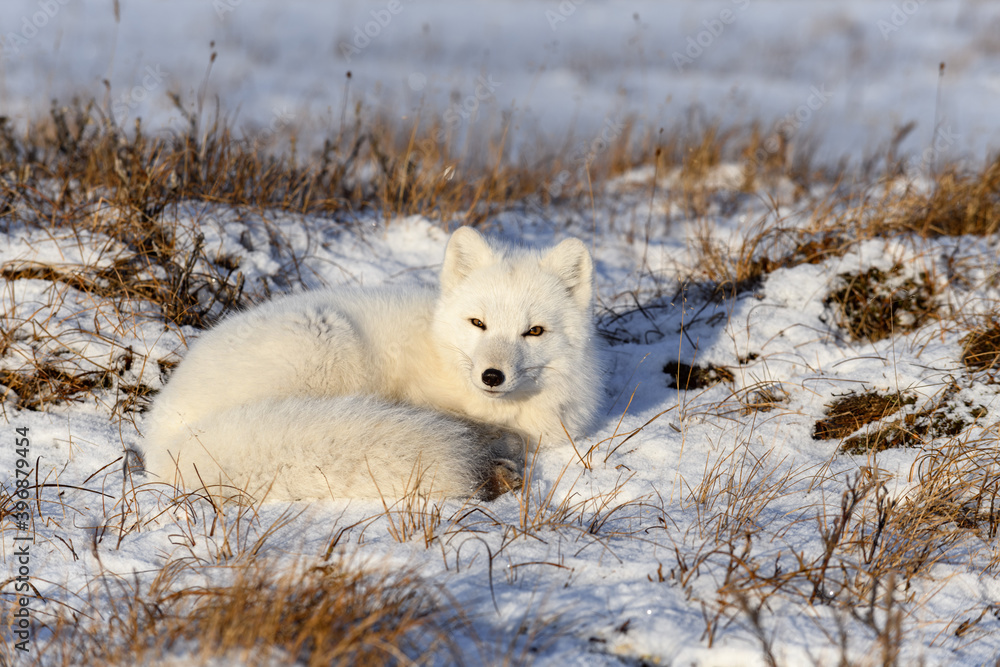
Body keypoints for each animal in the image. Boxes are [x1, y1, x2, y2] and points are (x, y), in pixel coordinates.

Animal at [138, 227, 603, 502]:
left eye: (534, 331)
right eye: (478, 323)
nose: (492, 376)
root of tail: (163, 439)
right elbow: (487, 431)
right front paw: (495, 449)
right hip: (327, 341)